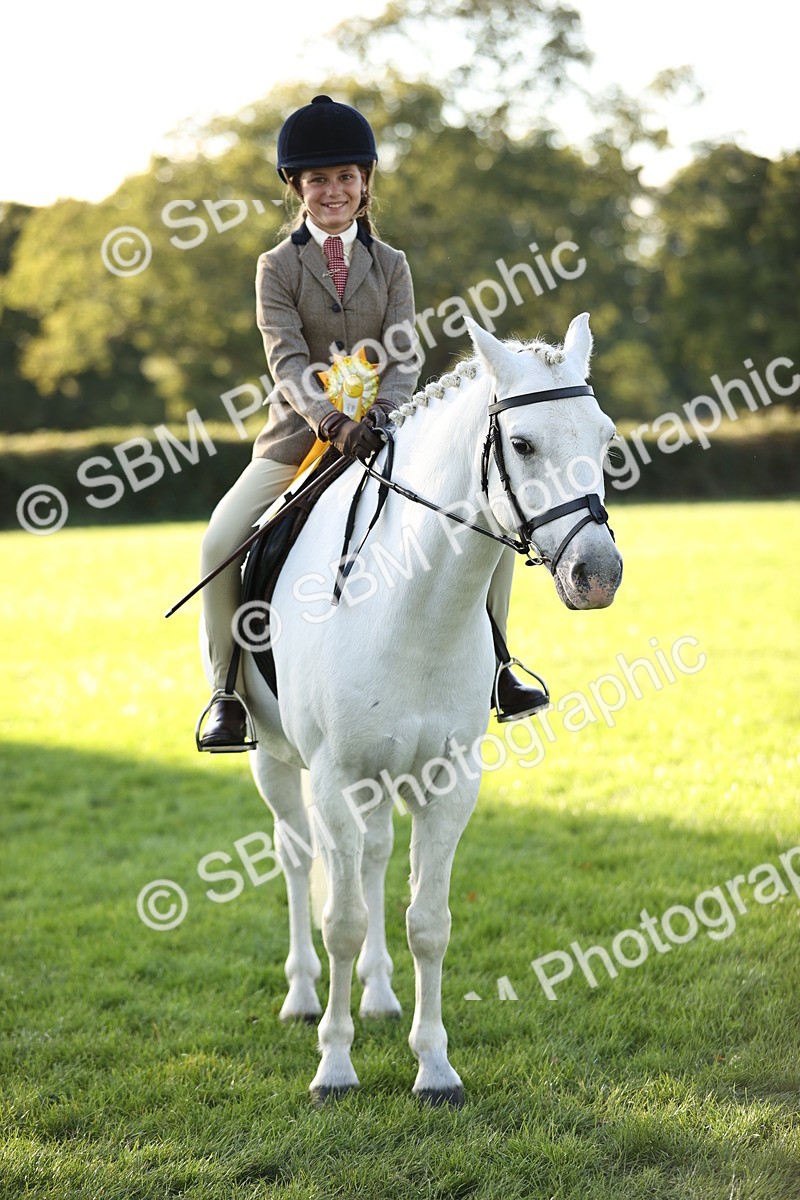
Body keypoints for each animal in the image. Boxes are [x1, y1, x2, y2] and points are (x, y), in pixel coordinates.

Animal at [209, 313, 623, 1105]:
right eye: (523, 444)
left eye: (605, 438)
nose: (599, 575)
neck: (413, 606)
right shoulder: (333, 778)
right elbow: (340, 920)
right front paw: (334, 1068)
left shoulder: (448, 782)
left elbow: (427, 922)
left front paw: (434, 1068)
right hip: (276, 762)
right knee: (298, 858)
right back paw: (303, 997)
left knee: (372, 859)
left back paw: (377, 994)